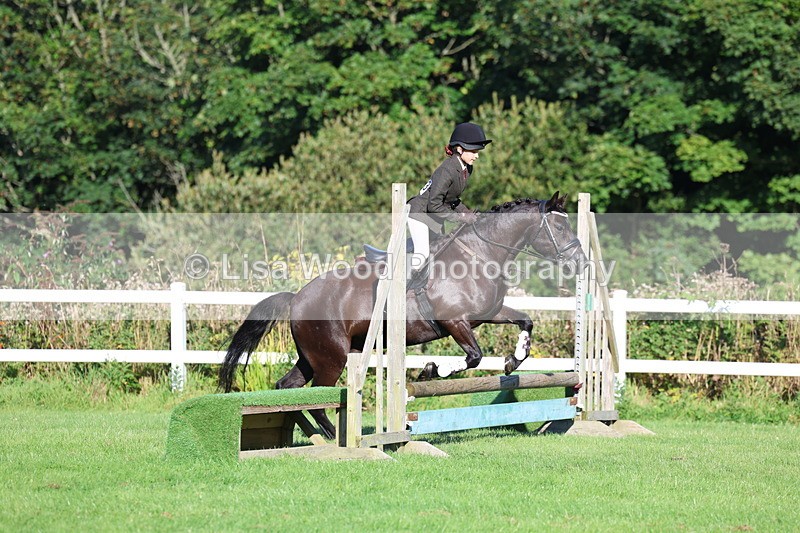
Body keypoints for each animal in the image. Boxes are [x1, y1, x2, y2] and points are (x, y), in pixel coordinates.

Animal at [219, 192, 587, 438]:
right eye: (560, 229)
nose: (581, 263)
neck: (480, 254)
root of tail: (297, 297)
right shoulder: (455, 321)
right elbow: (474, 356)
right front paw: (431, 370)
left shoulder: (489, 313)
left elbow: (526, 321)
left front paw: (514, 359)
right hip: (331, 358)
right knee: (319, 398)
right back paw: (336, 437)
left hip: (314, 355)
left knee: (289, 387)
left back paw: (310, 434)